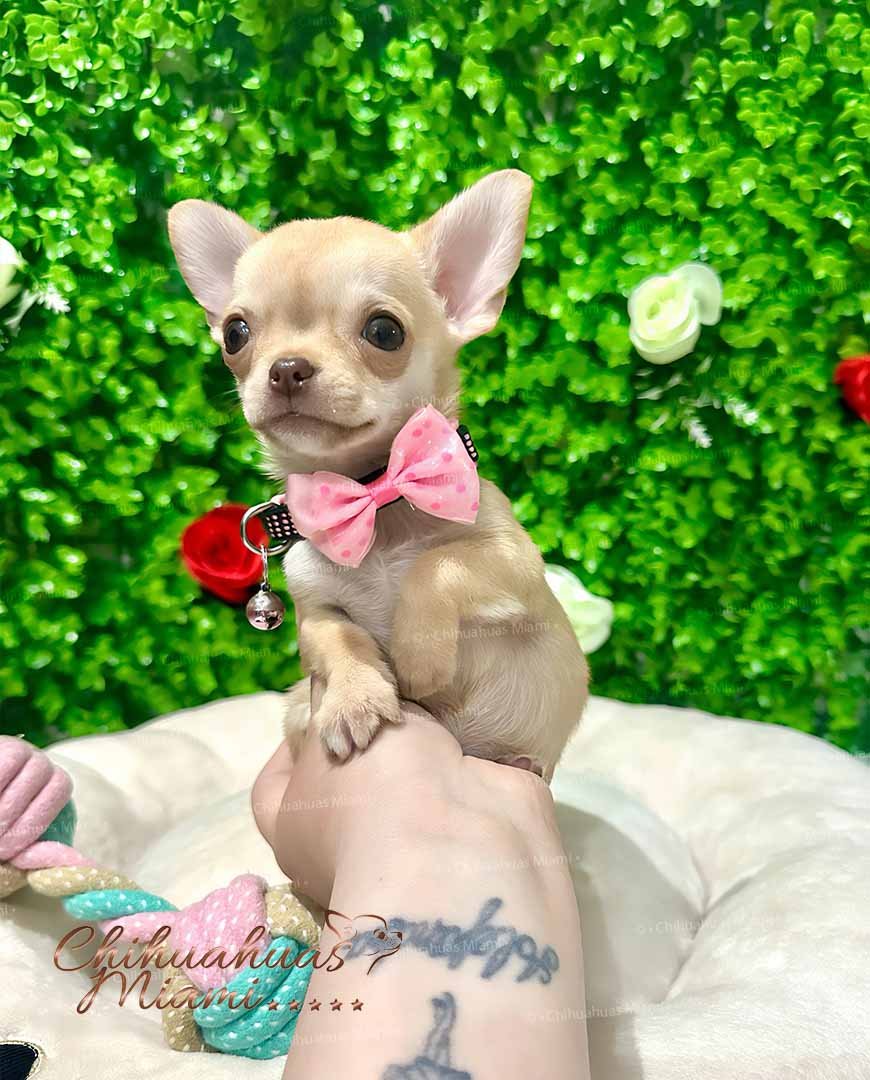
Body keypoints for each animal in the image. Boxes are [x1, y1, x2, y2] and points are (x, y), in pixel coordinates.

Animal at [168, 170, 588, 779]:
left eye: (385, 332)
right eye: (235, 334)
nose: (286, 367)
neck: (374, 495)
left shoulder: (515, 563)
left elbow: (438, 564)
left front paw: (419, 655)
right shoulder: (315, 609)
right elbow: (339, 639)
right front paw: (354, 700)